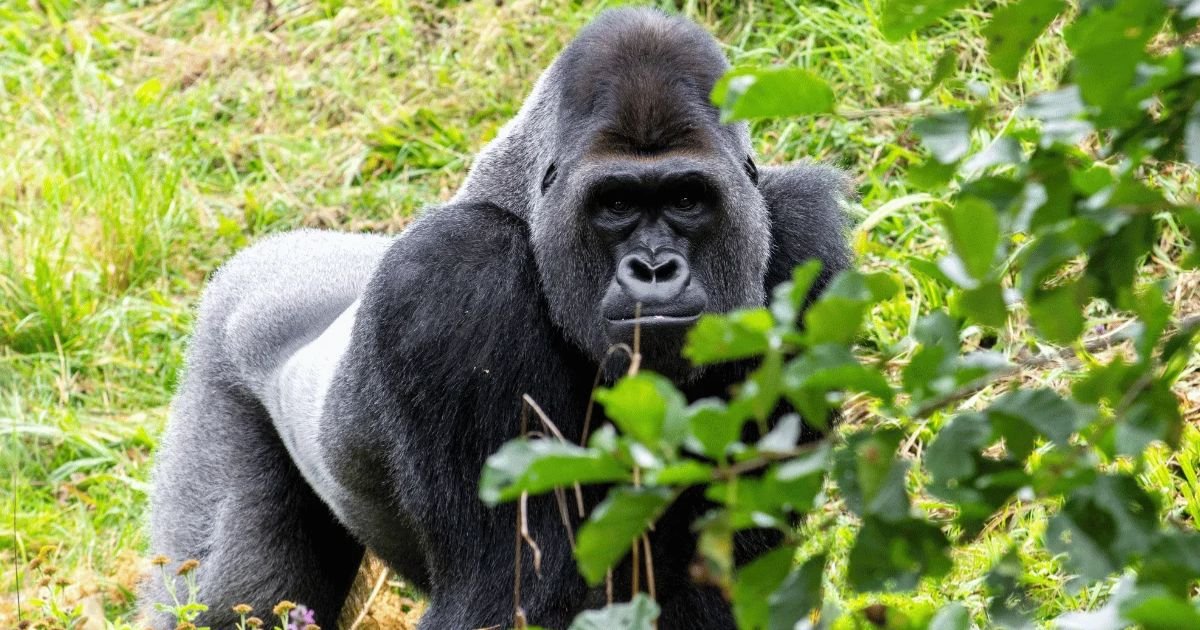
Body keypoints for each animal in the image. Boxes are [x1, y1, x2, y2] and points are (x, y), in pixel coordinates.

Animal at [142, 7, 850, 629]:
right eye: (616, 204)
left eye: (685, 199)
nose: (654, 268)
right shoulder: (454, 277)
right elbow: (511, 596)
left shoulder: (805, 244)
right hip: (219, 353)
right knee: (231, 599)